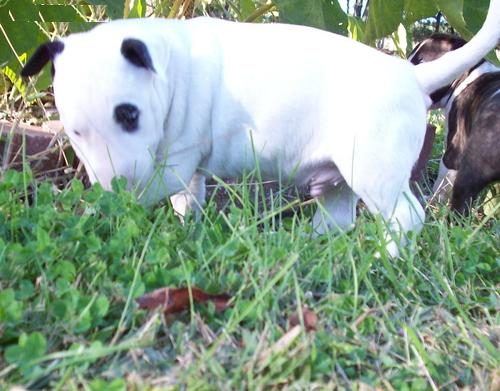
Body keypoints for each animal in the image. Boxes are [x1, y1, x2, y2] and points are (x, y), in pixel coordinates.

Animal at [22, 0, 500, 258]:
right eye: (76, 132)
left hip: (375, 170)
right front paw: (184, 227)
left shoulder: (174, 162)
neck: (169, 65)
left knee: (406, 216)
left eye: (129, 115)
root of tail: (412, 76)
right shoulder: (187, 170)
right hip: (341, 177)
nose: (116, 189)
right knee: (339, 217)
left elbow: (165, 184)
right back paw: (310, 244)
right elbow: (186, 201)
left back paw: (387, 257)